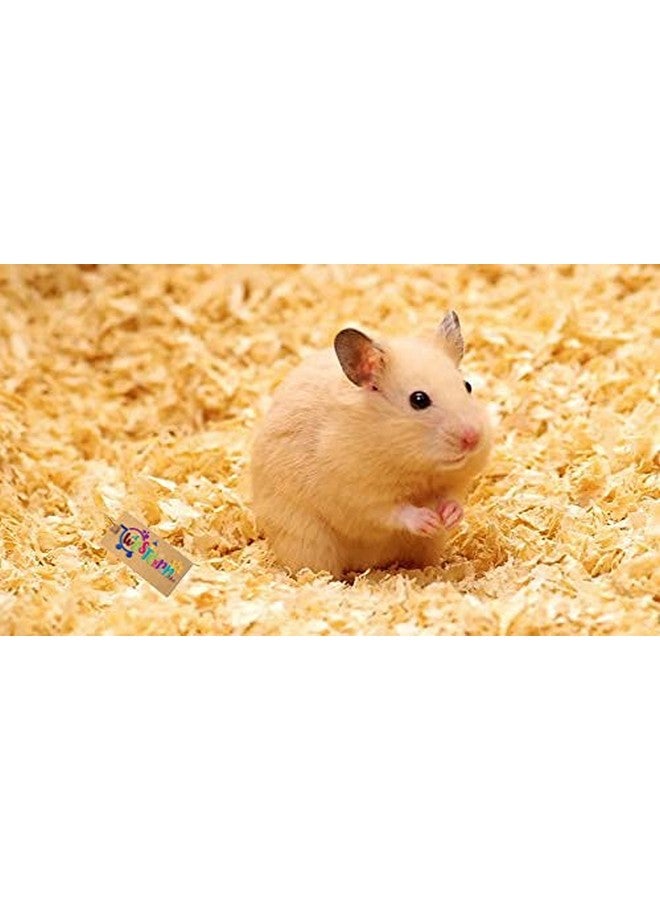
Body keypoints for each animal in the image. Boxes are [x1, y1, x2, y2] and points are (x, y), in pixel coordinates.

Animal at [250, 311, 492, 578]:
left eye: (467, 386)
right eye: (418, 400)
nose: (473, 438)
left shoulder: (455, 480)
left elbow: (453, 496)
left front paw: (449, 517)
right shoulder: (358, 495)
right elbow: (393, 511)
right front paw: (428, 520)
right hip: (307, 540)